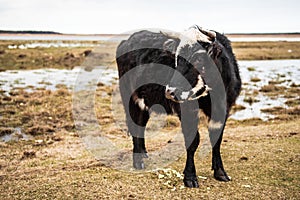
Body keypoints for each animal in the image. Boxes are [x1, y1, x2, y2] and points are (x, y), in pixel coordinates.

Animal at [115, 25, 241, 188]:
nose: (170, 92)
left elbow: (216, 139)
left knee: (141, 124)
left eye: (199, 58)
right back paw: (138, 162)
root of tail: (127, 41)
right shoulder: (187, 110)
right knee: (135, 125)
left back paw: (143, 153)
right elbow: (193, 141)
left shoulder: (223, 110)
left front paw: (220, 172)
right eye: (176, 58)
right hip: (130, 98)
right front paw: (190, 177)